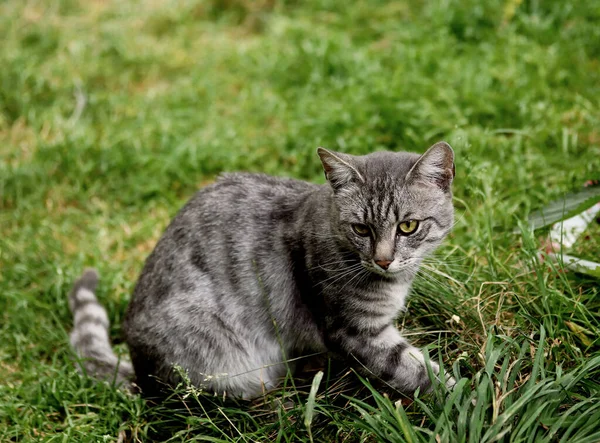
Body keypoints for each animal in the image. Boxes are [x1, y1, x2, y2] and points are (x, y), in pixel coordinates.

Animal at [69, 141, 454, 398]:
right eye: (361, 229)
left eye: (408, 227)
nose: (383, 260)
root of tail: (140, 372)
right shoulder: (355, 331)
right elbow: (417, 371)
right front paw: (460, 397)